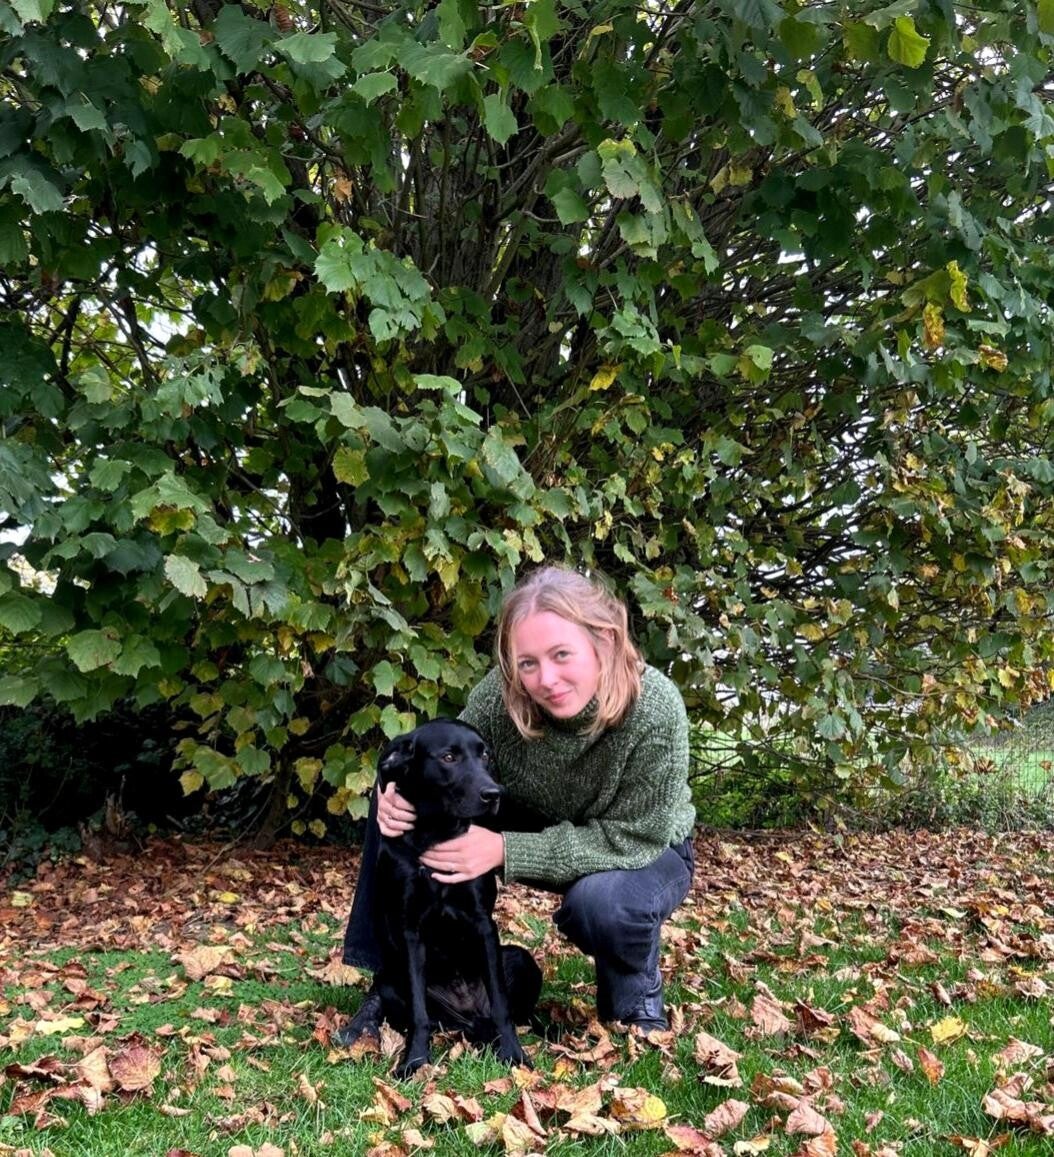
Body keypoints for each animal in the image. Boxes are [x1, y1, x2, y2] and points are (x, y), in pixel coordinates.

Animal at [341, 719, 540, 1078]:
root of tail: (469, 1015)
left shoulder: (483, 925)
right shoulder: (411, 931)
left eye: (485, 755)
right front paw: (415, 1061)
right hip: (390, 979)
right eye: (449, 757)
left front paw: (514, 1054)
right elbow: (419, 1015)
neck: (436, 834)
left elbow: (502, 1006)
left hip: (520, 958)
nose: (494, 794)